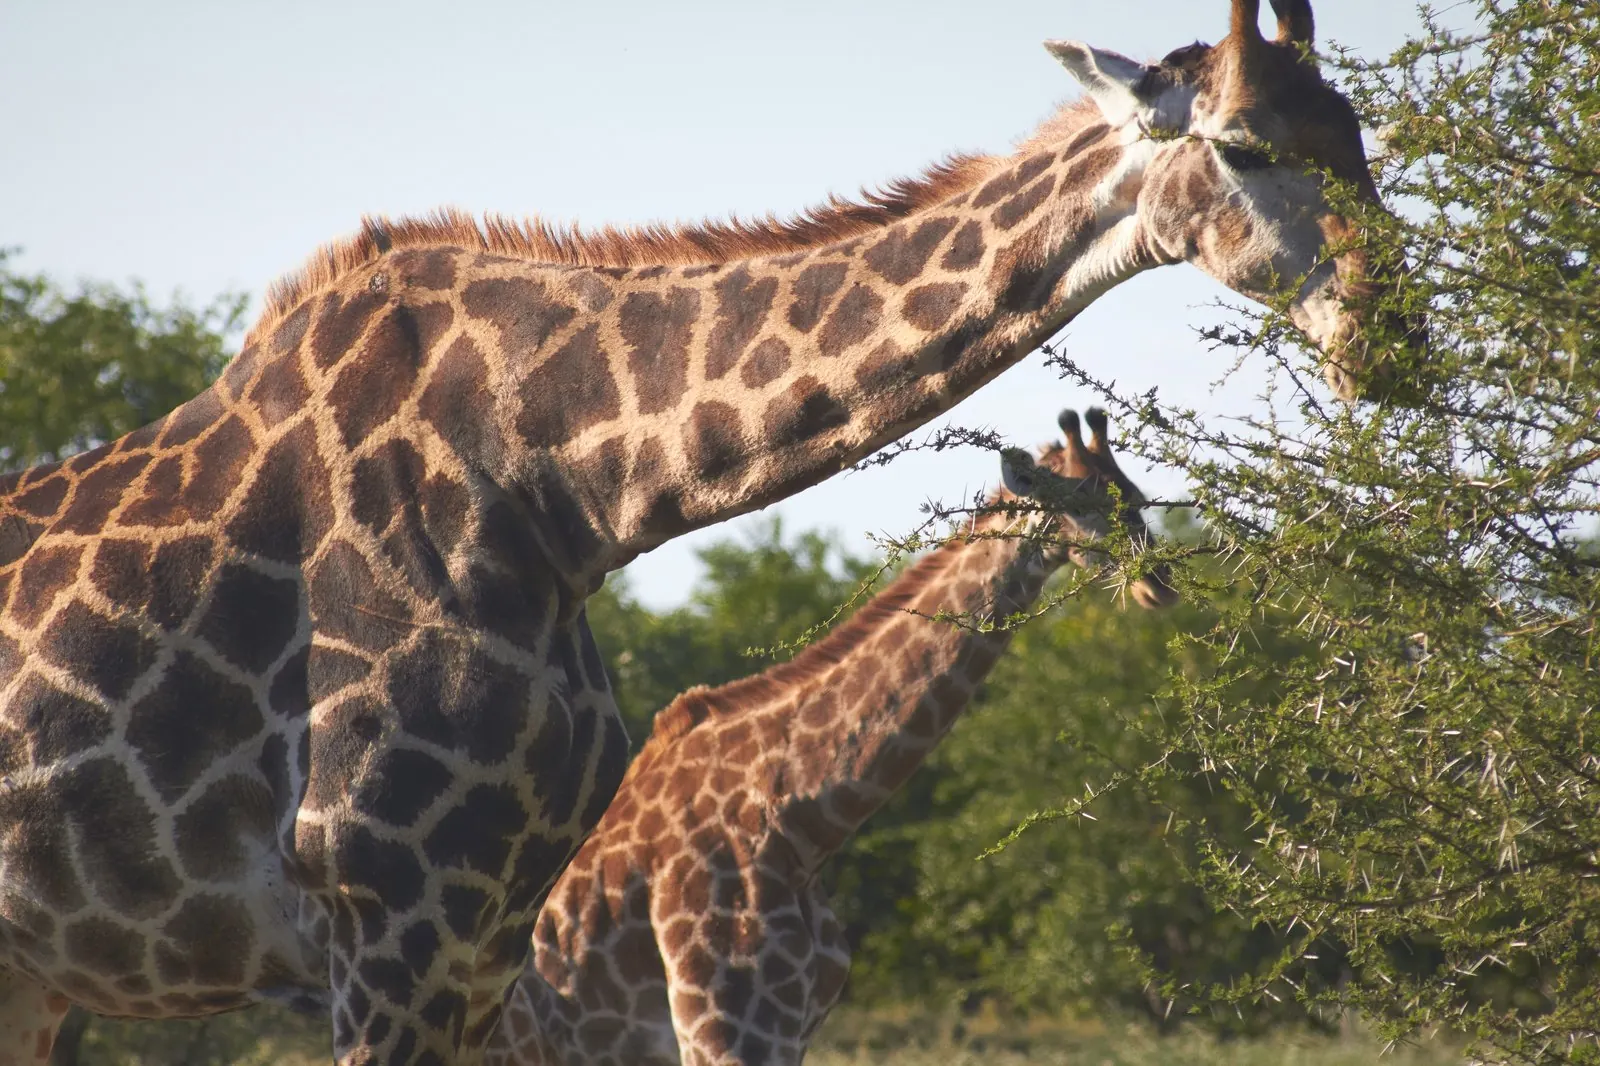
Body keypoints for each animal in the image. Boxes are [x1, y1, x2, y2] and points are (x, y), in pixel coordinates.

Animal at [486, 407, 1175, 1066]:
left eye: (1137, 499)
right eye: (1081, 506)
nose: (1159, 584)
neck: (801, 820)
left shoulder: (787, 1032)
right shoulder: (726, 1032)